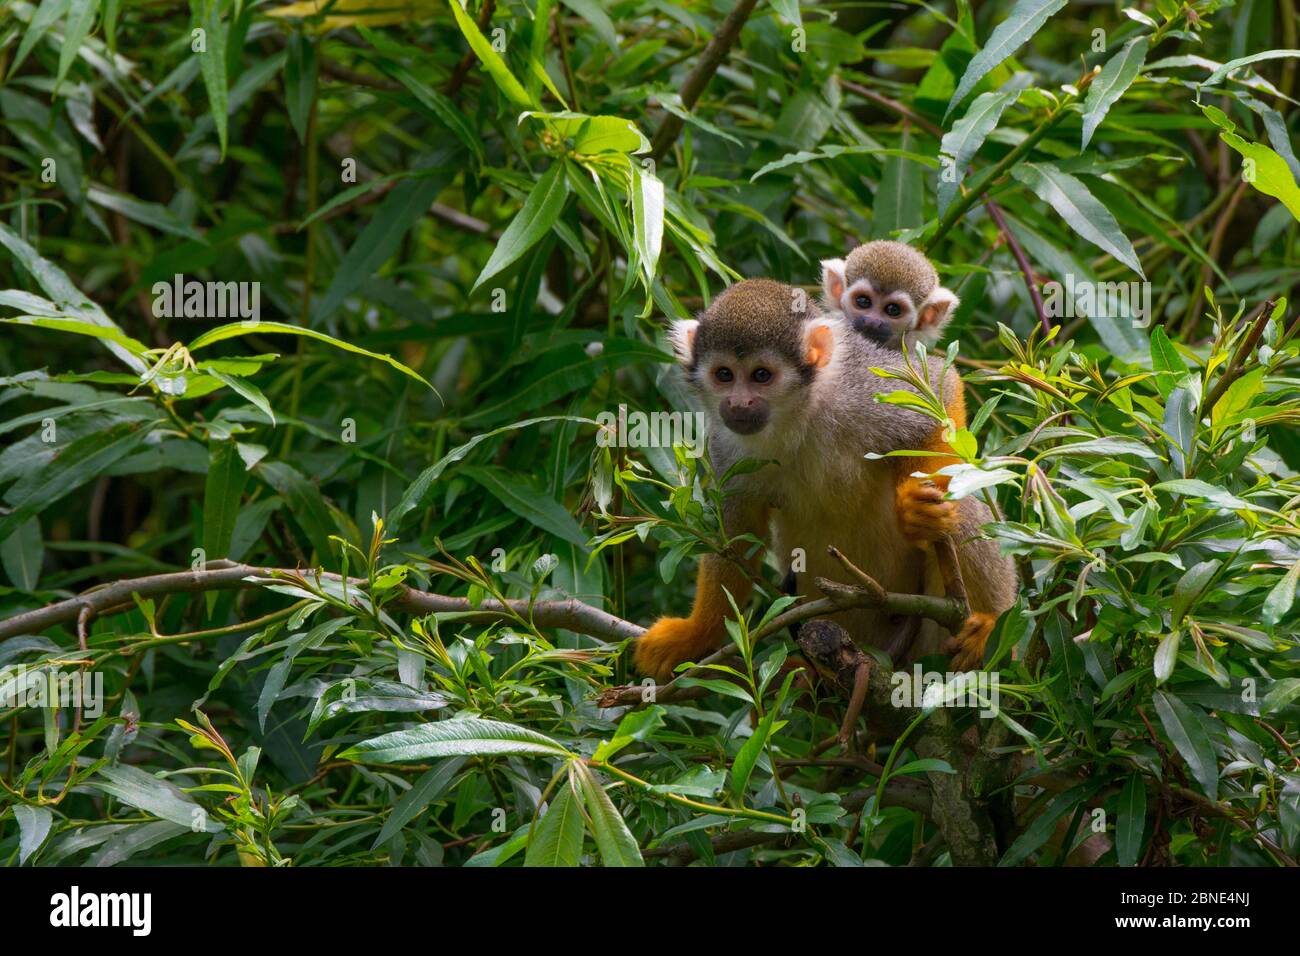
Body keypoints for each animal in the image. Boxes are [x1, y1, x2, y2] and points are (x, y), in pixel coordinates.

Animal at [633, 278, 1016, 683]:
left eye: (761, 375)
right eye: (724, 375)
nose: (738, 405)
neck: (799, 413)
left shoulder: (859, 387)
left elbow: (939, 392)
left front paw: (921, 509)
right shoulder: (726, 443)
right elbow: (736, 534)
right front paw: (695, 635)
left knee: (964, 503)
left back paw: (993, 627)